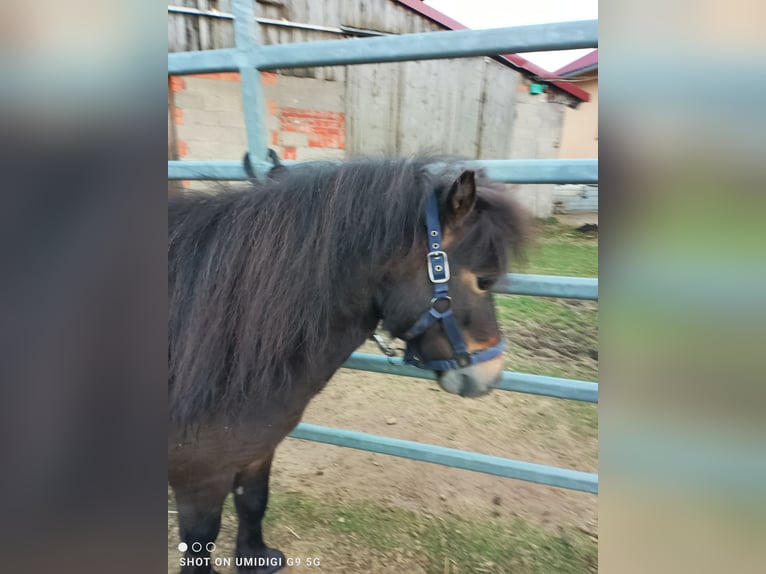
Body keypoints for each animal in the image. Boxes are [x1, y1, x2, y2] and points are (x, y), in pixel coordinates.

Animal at [168, 157, 527, 573]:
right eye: (484, 281)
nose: (491, 374)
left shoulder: (257, 451)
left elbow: (254, 501)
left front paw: (257, 559)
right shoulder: (199, 481)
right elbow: (200, 545)